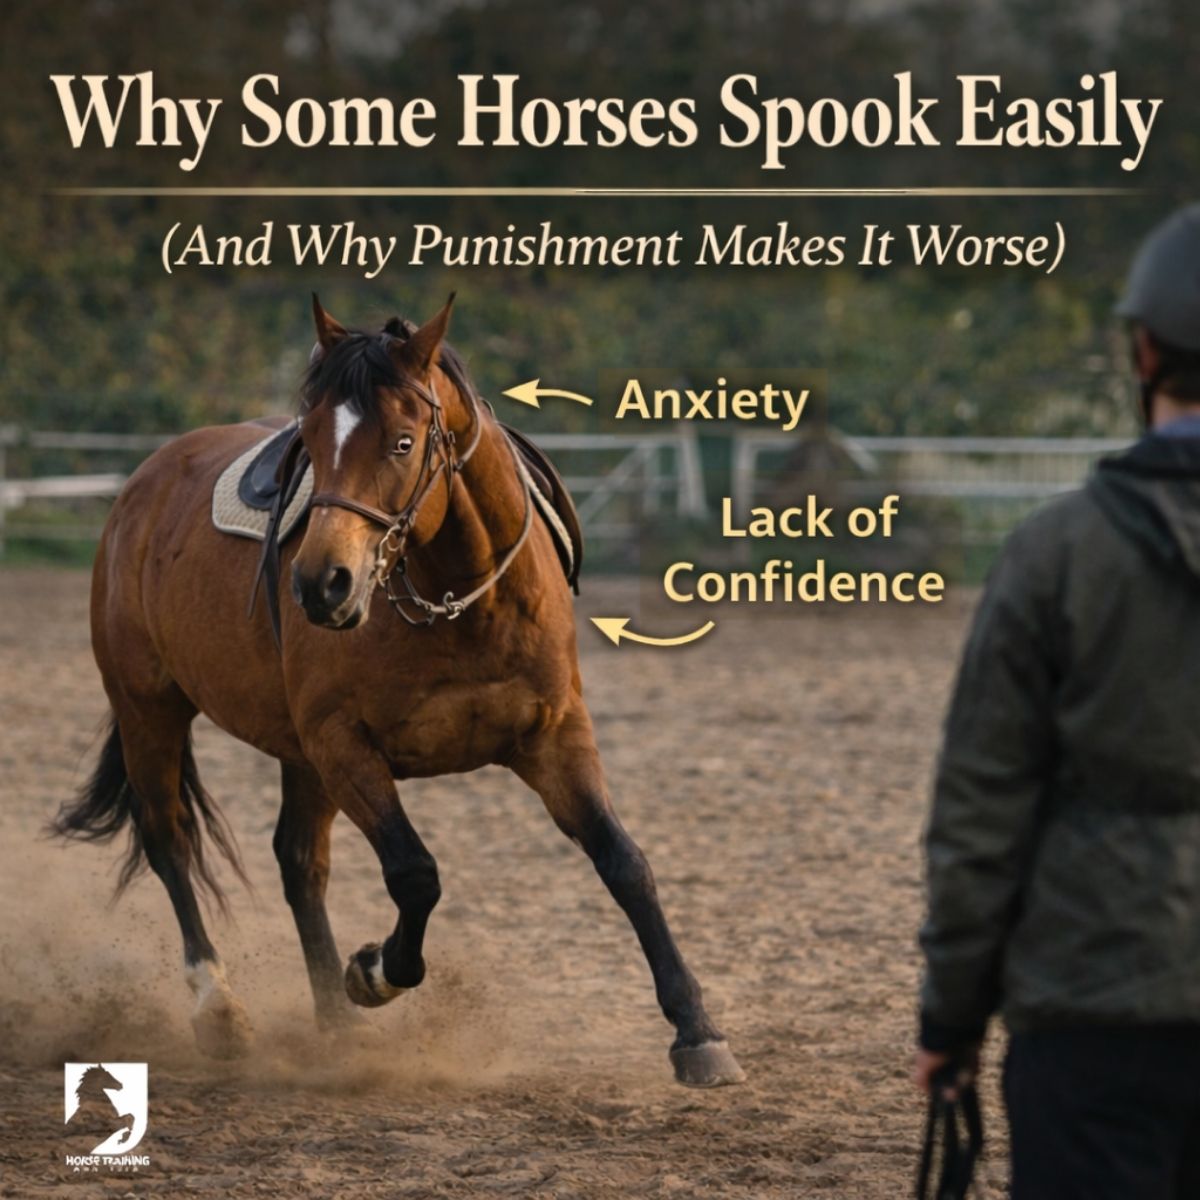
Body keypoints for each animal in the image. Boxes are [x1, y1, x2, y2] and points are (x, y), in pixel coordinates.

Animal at [52, 295, 745, 1088]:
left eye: (404, 443)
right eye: (311, 441)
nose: (321, 585)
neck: (466, 602)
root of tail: (143, 484)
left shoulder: (553, 738)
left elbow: (625, 864)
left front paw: (697, 1031)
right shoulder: (345, 746)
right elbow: (416, 875)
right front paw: (376, 971)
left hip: (293, 753)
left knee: (298, 862)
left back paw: (333, 1026)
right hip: (152, 708)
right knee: (170, 838)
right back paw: (219, 1007)